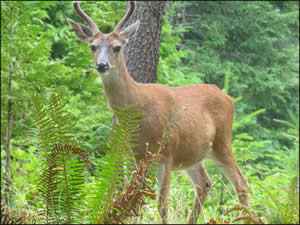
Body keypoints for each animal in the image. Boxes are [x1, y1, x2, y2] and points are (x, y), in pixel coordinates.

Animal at [67, 1, 248, 223]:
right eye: (93, 46)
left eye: (117, 47)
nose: (101, 65)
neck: (138, 106)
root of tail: (228, 98)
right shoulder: (131, 154)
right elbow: (131, 198)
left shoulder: (167, 152)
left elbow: (162, 204)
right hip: (194, 151)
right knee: (204, 183)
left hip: (222, 141)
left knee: (240, 182)